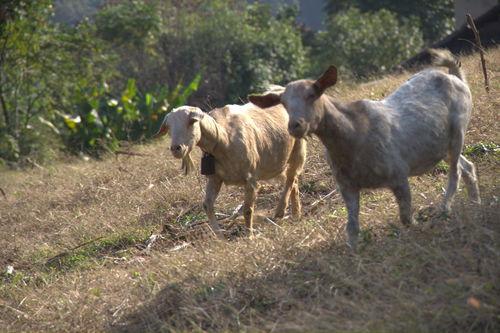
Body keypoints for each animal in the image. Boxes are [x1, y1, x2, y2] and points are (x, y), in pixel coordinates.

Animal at [154, 98, 306, 233]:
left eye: (192, 121)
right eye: (169, 127)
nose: (176, 148)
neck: (224, 138)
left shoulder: (250, 179)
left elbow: (247, 210)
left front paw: (249, 237)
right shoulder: (215, 178)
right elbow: (207, 205)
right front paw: (219, 236)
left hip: (298, 150)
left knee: (291, 177)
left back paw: (281, 211)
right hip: (276, 163)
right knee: (292, 181)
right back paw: (296, 214)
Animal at [250, 48, 480, 248]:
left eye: (312, 94)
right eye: (284, 103)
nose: (295, 126)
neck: (353, 135)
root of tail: (454, 76)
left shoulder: (398, 175)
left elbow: (406, 218)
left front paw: (417, 232)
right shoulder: (347, 186)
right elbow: (352, 228)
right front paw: (353, 251)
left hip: (458, 130)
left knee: (456, 172)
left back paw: (445, 209)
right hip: (441, 146)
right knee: (467, 166)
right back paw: (475, 203)